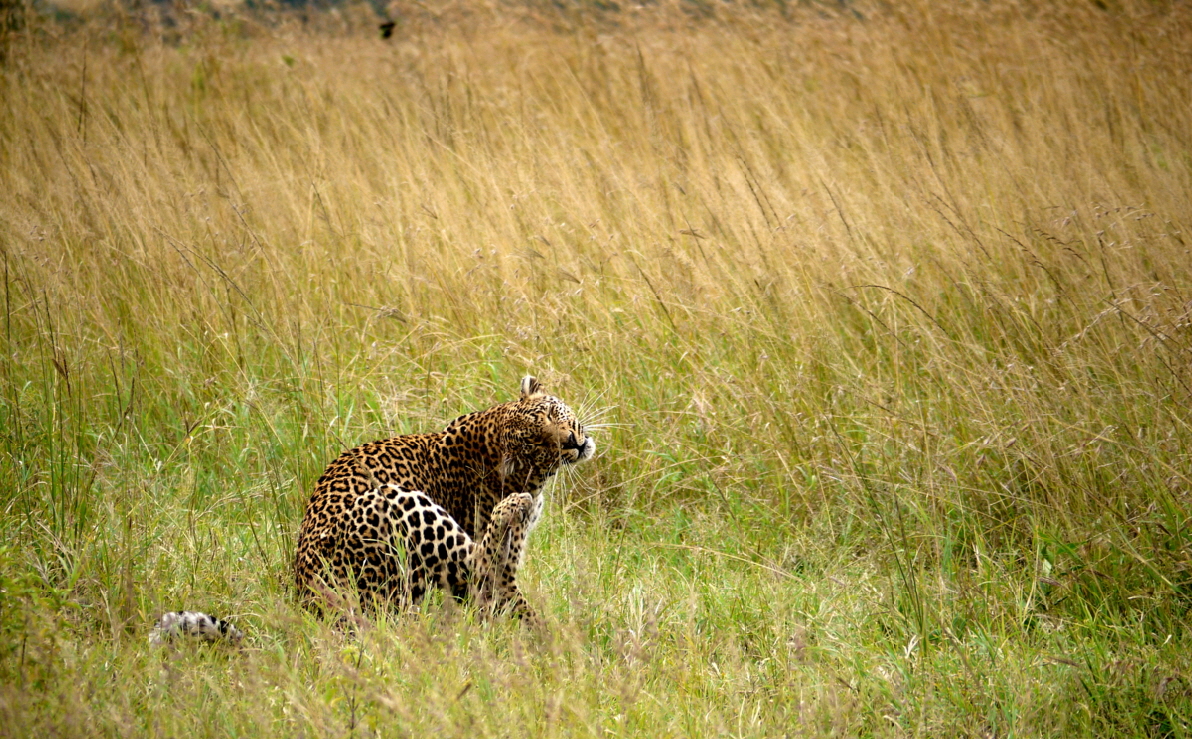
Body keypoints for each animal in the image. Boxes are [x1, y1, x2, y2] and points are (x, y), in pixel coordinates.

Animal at [294, 376, 595, 615]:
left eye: (551, 413)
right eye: (539, 445)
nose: (571, 441)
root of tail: (310, 600)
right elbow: (500, 583)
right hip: (393, 502)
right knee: (480, 565)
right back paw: (510, 505)